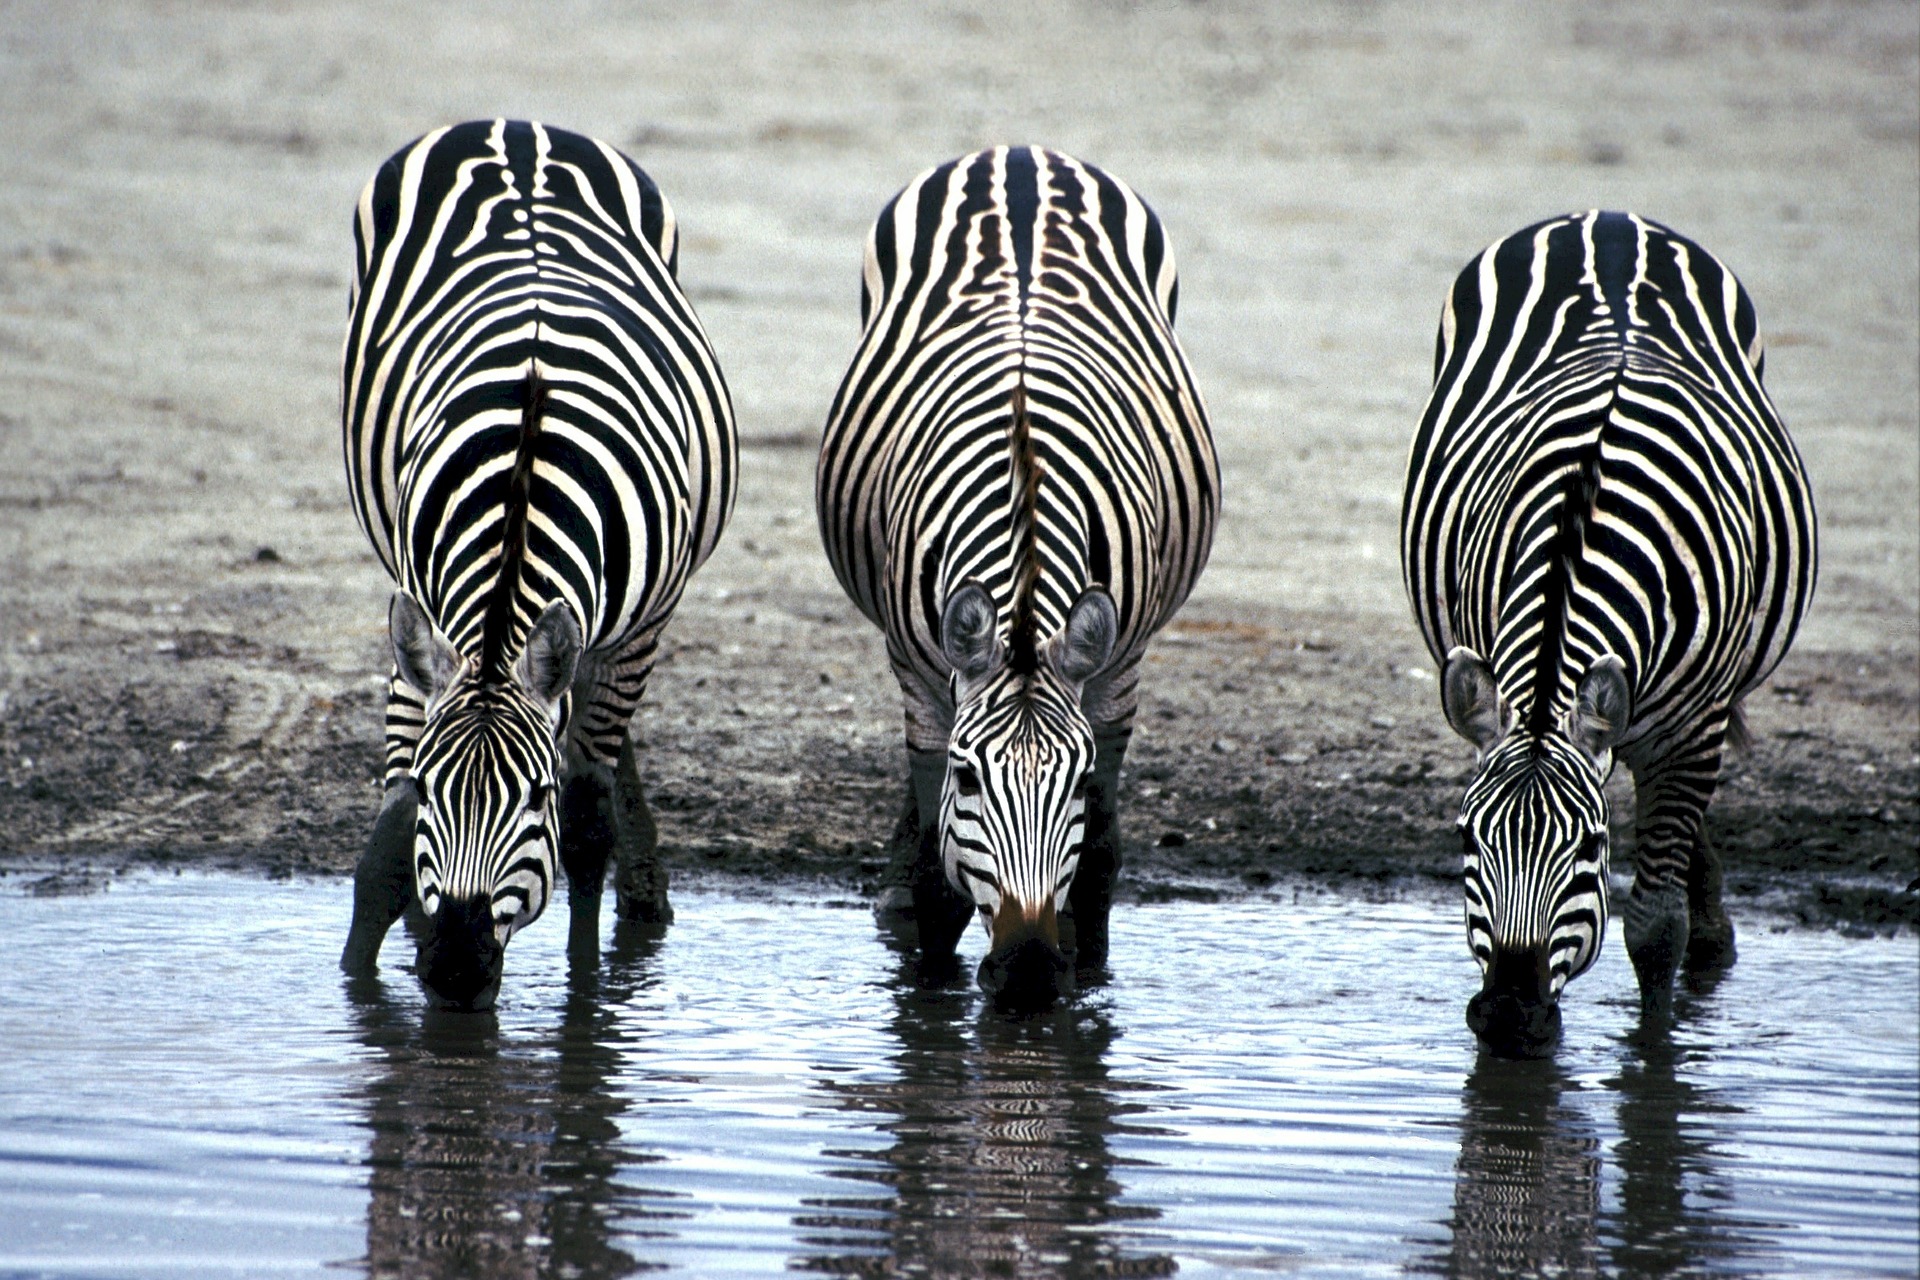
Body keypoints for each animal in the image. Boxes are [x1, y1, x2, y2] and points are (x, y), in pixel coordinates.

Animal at [336, 120, 736, 1007]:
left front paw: (587, 999)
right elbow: (388, 839)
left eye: (535, 797)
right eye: (433, 789)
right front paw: (364, 982)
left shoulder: (637, 633)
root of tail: (517, 126)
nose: (455, 968)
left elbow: (586, 827)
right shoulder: (419, 611)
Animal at [817, 147, 1219, 1010]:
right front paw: (930, 983)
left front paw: (1086, 973)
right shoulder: (918, 668)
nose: (1031, 970)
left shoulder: (1119, 667)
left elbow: (1098, 858)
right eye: (969, 778)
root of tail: (1022, 154)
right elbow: (938, 872)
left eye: (1075, 783)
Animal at [1402, 210, 1816, 1055]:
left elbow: (1654, 928)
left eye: (1591, 850)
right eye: (1465, 839)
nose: (1509, 1017)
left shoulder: (1692, 730)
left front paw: (1654, 1052)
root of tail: (1607, 217)